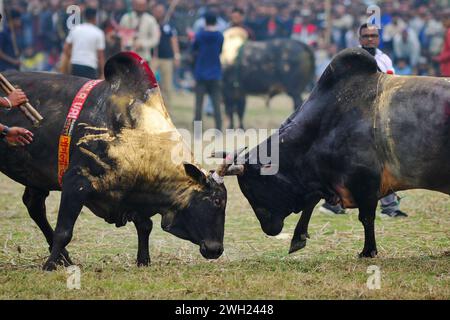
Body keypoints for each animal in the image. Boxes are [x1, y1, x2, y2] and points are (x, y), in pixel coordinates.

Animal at [236, 48, 450, 258]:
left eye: (253, 185)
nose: (268, 228)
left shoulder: (365, 183)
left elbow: (366, 218)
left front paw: (368, 251)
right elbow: (312, 201)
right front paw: (298, 238)